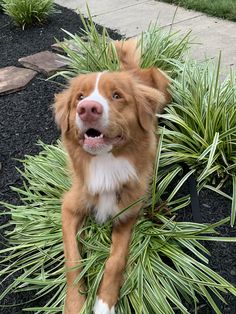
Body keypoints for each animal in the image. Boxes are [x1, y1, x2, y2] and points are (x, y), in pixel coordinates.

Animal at [53, 39, 170, 314]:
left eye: (117, 96)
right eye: (80, 97)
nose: (87, 109)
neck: (105, 162)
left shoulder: (129, 212)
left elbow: (115, 260)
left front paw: (104, 303)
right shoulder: (69, 206)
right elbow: (72, 260)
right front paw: (75, 304)